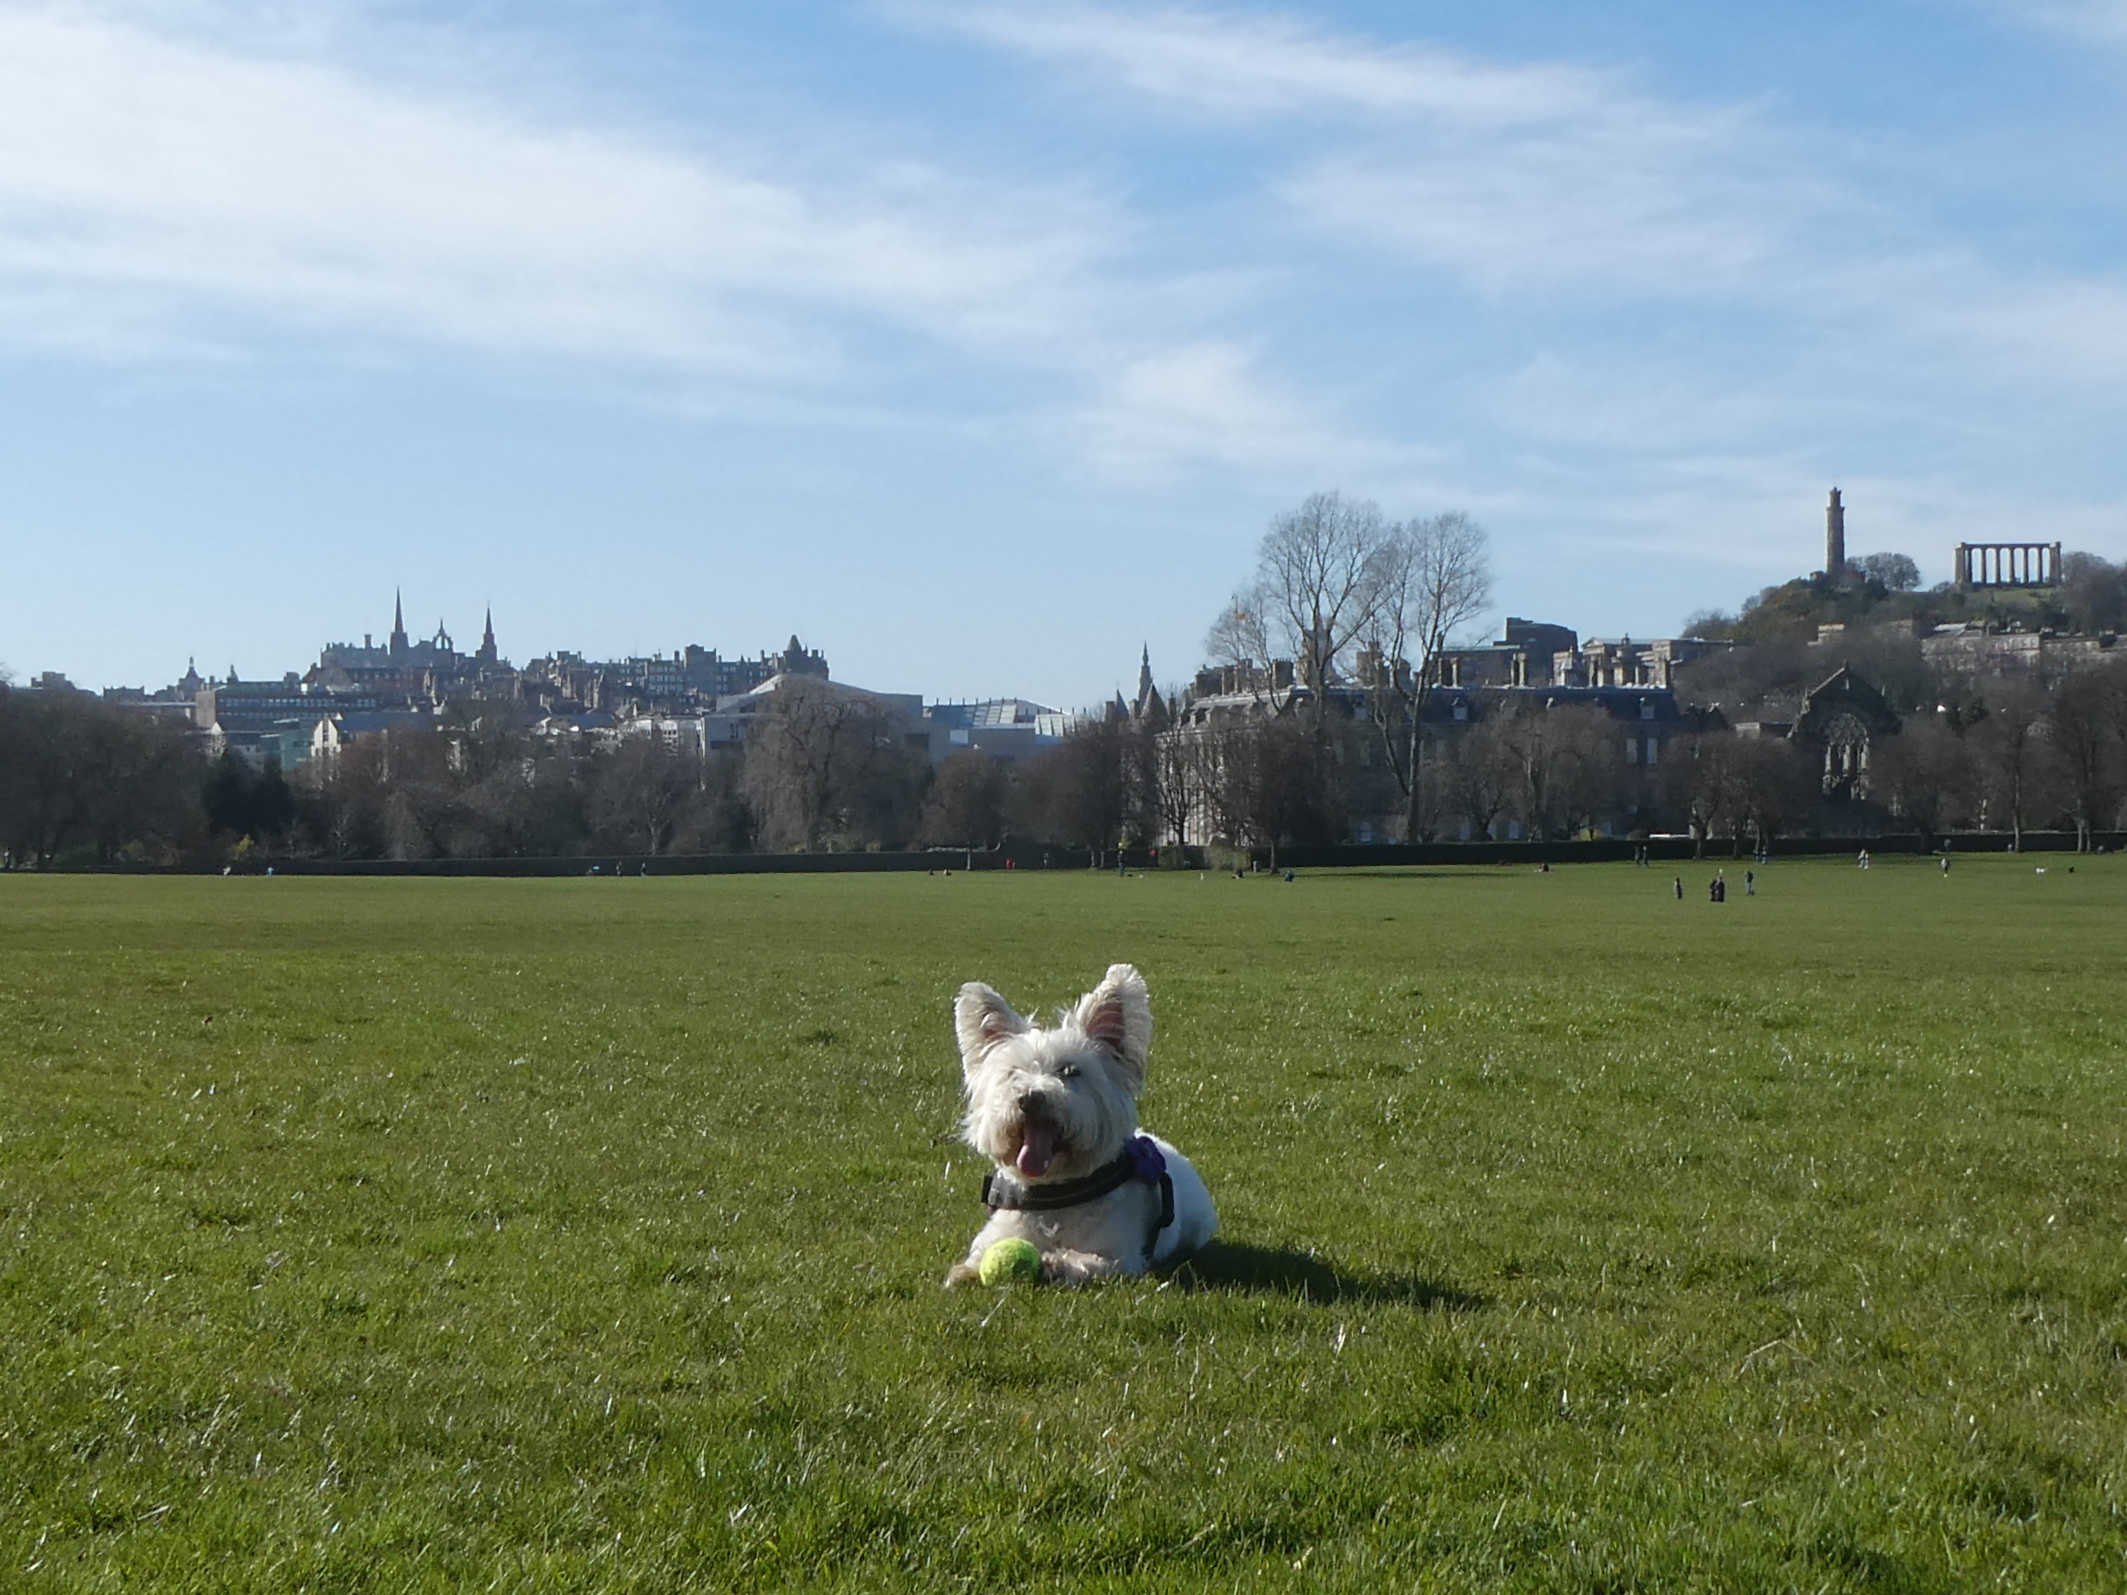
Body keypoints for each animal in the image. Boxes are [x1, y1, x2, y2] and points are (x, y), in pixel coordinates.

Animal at [944, 961, 1216, 1284]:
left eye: (1070, 1071)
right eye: (1013, 1073)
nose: (1030, 1098)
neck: (1056, 1194)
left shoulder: (1121, 1256)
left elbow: (1091, 1261)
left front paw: (1055, 1262)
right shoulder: (999, 1231)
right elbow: (981, 1253)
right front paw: (965, 1271)